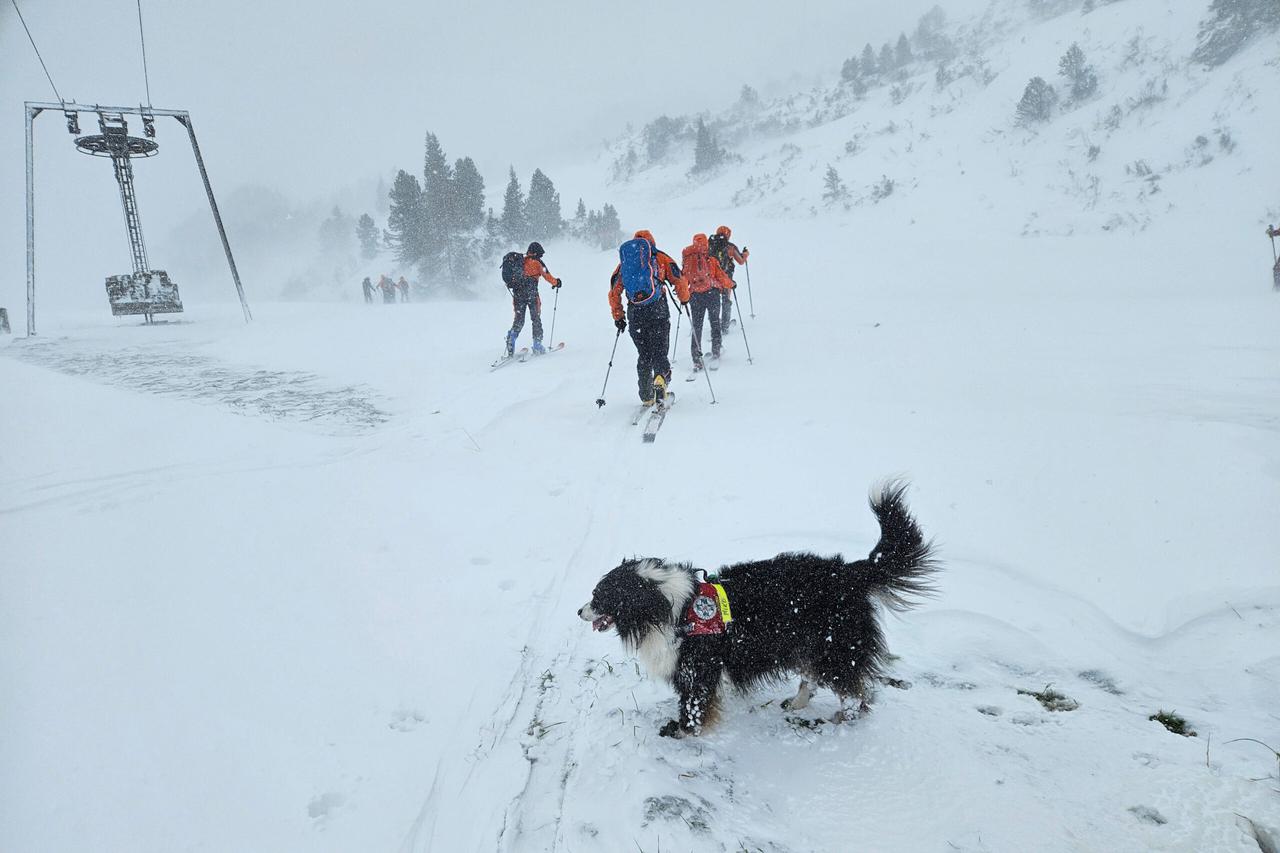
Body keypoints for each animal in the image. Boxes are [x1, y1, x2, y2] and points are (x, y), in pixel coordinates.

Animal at [576, 481, 936, 732]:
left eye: (598, 596)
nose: (579, 612)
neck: (664, 606)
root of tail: (847, 572)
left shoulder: (697, 667)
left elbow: (692, 705)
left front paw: (682, 732)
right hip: (809, 644)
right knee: (815, 679)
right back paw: (797, 704)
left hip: (834, 647)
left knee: (855, 692)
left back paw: (835, 720)